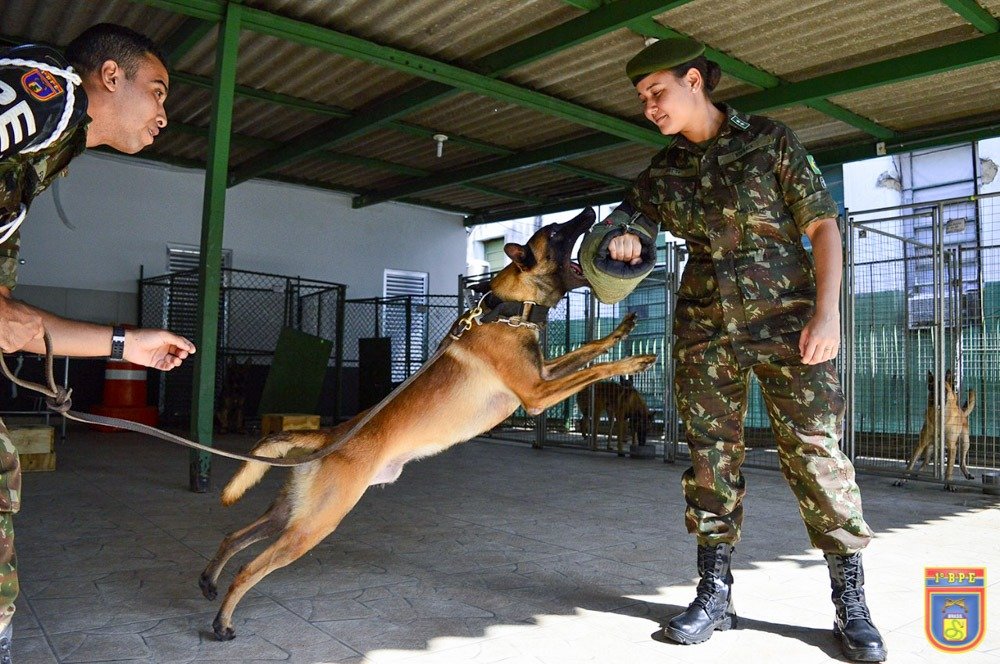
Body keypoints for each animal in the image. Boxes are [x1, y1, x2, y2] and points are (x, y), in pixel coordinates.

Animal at [200, 208, 660, 640]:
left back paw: (208, 580)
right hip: (313, 525)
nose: (591, 213)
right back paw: (222, 621)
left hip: (291, 514)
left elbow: (589, 348)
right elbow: (595, 368)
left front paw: (622, 331)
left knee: (232, 536)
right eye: (559, 232)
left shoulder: (544, 374)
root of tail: (330, 434)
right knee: (249, 568)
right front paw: (634, 361)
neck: (508, 310)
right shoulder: (537, 394)